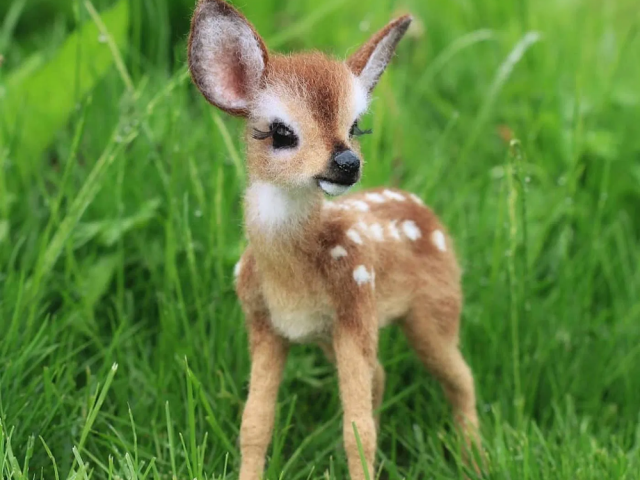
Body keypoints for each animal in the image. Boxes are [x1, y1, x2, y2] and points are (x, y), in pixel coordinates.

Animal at [188, 1, 478, 478]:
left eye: (356, 126)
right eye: (280, 132)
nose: (347, 163)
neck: (290, 275)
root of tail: (426, 210)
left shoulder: (354, 304)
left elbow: (357, 432)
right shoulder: (263, 321)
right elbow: (255, 422)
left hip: (434, 308)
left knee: (461, 377)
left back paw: (476, 459)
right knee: (382, 374)